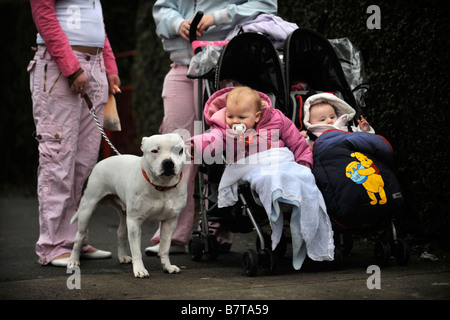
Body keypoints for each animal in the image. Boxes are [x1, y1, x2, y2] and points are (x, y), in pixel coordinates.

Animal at [67, 132, 186, 278]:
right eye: (154, 151)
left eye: (179, 150)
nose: (168, 163)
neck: (162, 186)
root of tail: (101, 162)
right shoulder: (134, 221)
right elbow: (136, 251)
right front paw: (139, 269)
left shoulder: (170, 222)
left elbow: (164, 248)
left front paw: (168, 267)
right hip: (87, 209)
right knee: (79, 236)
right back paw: (73, 260)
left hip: (124, 214)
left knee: (121, 232)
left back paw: (122, 256)